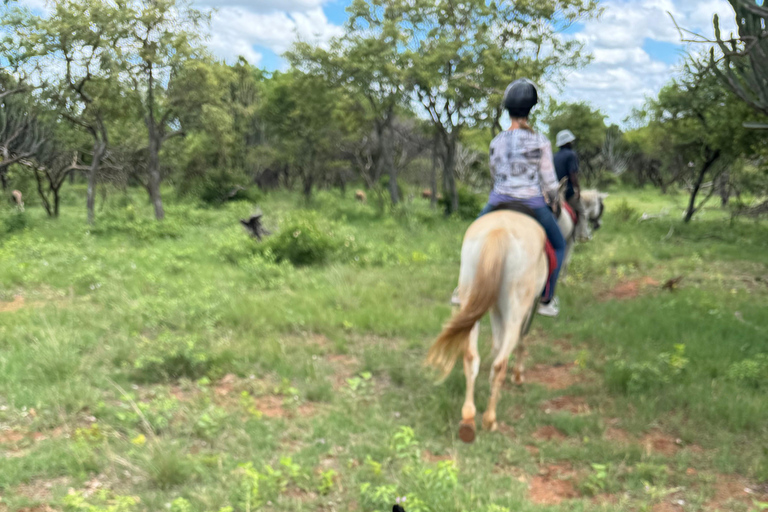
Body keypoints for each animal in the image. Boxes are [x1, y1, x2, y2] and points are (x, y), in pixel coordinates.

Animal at [428, 185, 608, 444]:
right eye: (592, 209)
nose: (593, 228)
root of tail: (499, 231)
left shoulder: (495, 308)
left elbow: (496, 343)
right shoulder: (531, 302)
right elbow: (522, 338)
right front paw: (519, 375)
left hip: (471, 301)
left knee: (471, 357)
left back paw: (469, 419)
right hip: (516, 307)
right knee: (502, 361)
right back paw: (490, 419)